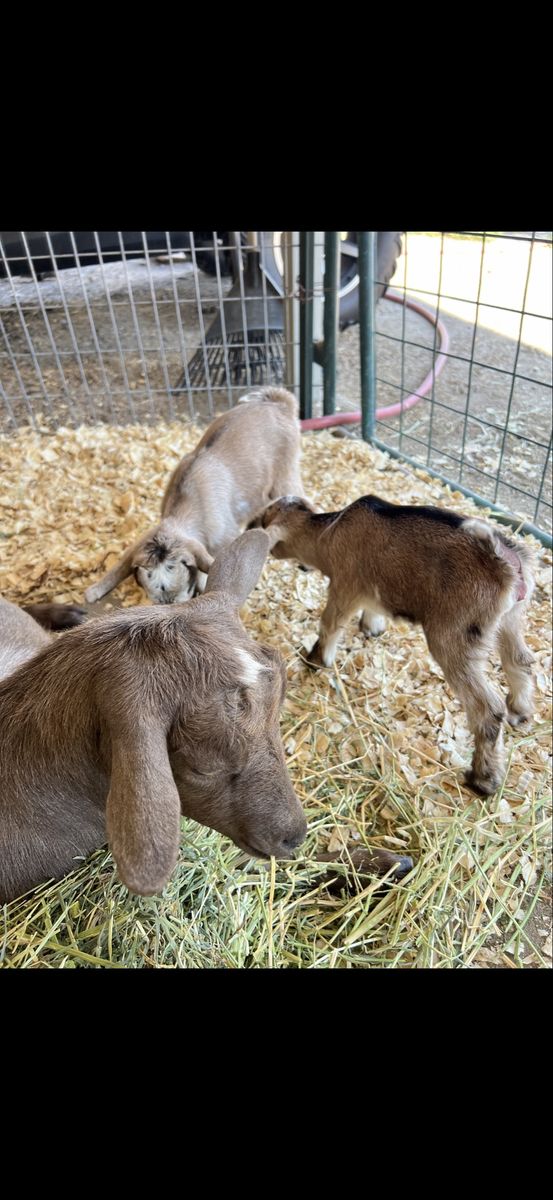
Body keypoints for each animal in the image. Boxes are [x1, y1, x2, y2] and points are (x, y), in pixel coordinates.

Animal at [261, 494, 536, 797]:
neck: (330, 533)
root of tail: (506, 562)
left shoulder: (345, 587)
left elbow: (330, 624)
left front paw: (316, 660)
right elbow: (373, 611)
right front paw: (372, 628)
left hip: (455, 636)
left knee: (487, 708)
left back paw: (483, 779)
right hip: (510, 620)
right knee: (520, 661)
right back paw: (520, 712)